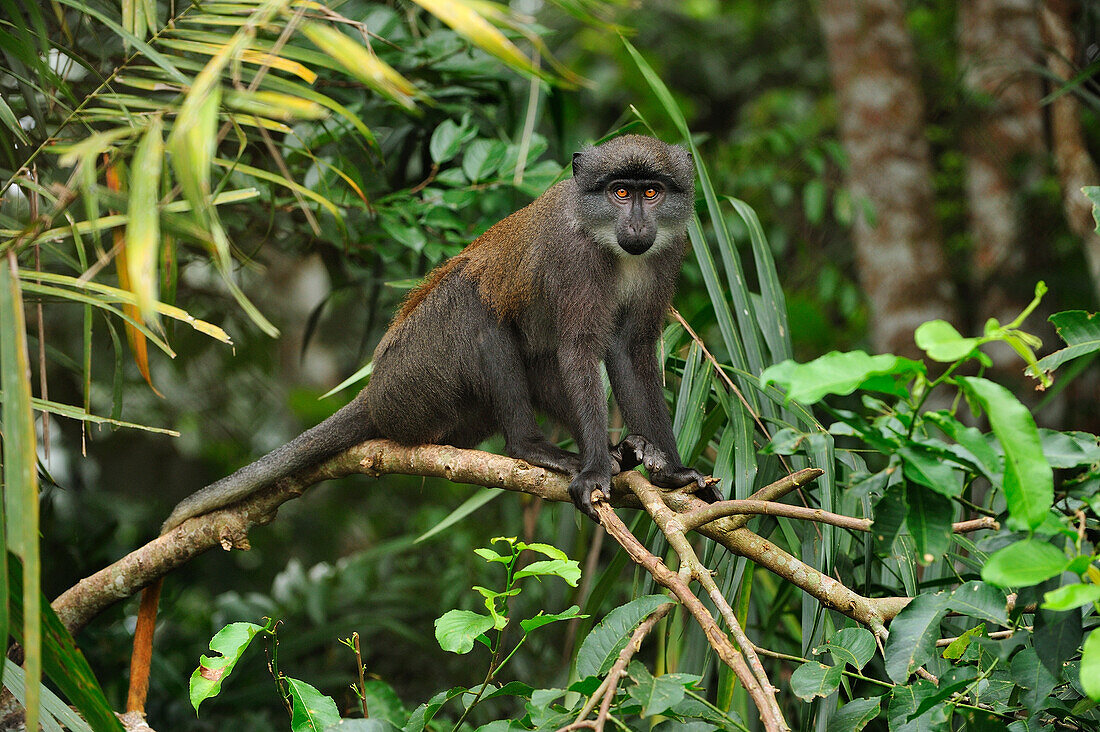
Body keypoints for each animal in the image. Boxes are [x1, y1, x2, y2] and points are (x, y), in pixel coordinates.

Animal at [160, 132, 712, 530]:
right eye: (619, 192)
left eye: (650, 192)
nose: (636, 227)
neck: (613, 247)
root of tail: (374, 393)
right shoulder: (573, 260)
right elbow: (578, 349)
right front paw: (596, 470)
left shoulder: (667, 253)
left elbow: (630, 350)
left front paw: (671, 470)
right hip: (416, 381)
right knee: (476, 310)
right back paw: (534, 449)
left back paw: (630, 452)